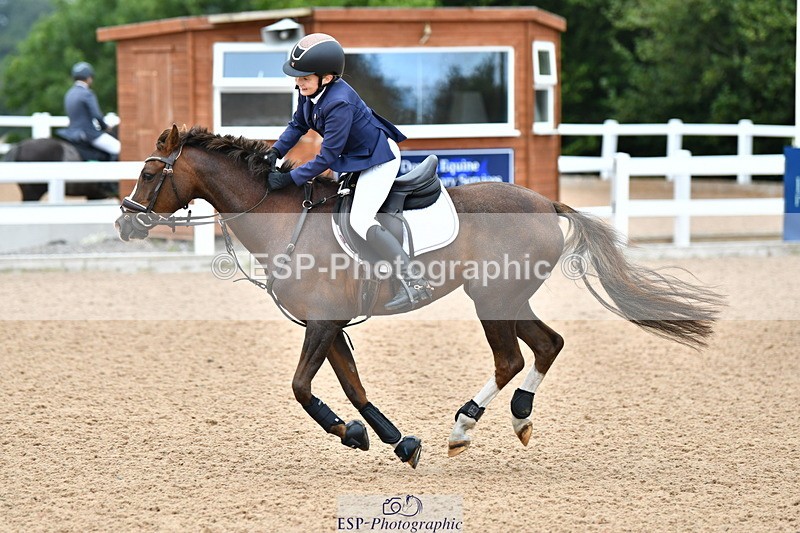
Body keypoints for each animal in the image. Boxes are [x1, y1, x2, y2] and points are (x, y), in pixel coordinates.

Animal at [116, 124, 724, 468]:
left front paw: (349, 432)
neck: (283, 216)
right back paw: (519, 418)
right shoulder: (329, 325)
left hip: (491, 299)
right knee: (547, 345)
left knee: (511, 358)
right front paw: (390, 439)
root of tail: (547, 202)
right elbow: (354, 386)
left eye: (148, 172)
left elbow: (301, 388)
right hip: (507, 298)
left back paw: (464, 425)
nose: (124, 222)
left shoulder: (322, 323)